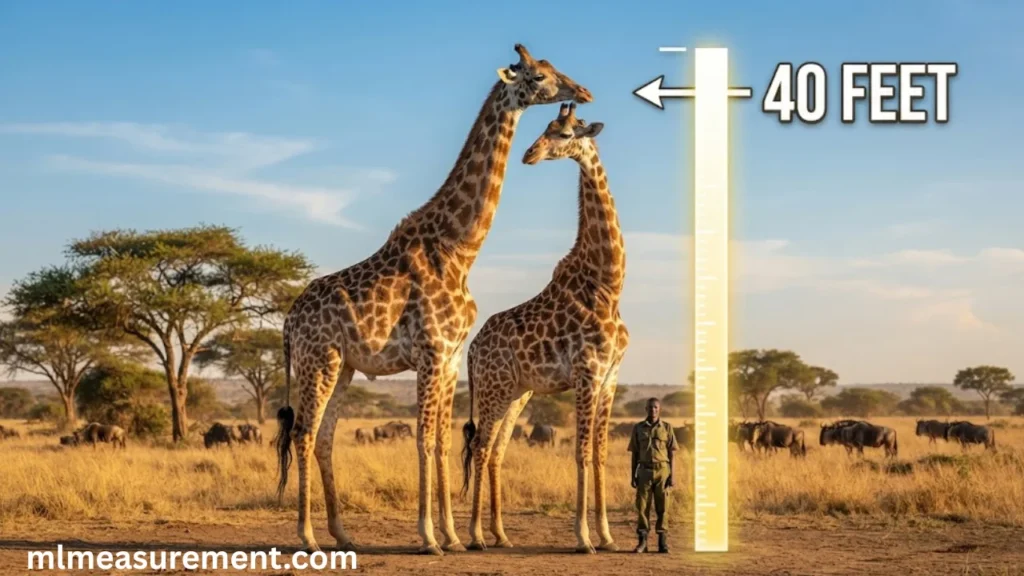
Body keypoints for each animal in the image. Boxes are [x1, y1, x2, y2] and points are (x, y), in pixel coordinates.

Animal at [274, 44, 593, 557]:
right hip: (317, 359)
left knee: (324, 438)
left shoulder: (450, 356)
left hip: (343, 366)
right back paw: (307, 537)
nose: (583, 91)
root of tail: (287, 324)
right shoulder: (431, 351)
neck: (460, 248)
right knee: (303, 434)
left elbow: (442, 441)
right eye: (540, 75)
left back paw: (342, 533)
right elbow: (423, 439)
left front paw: (454, 536)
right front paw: (428, 538)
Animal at [460, 103, 628, 553]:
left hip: (518, 392)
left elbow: (601, 453)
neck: (609, 283)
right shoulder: (587, 373)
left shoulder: (610, 377)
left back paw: (501, 535)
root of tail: (472, 349)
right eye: (545, 127)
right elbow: (581, 453)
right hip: (494, 388)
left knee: (496, 451)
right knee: (480, 447)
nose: (529, 154)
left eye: (566, 132)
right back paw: (476, 536)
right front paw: (584, 538)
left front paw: (608, 537)